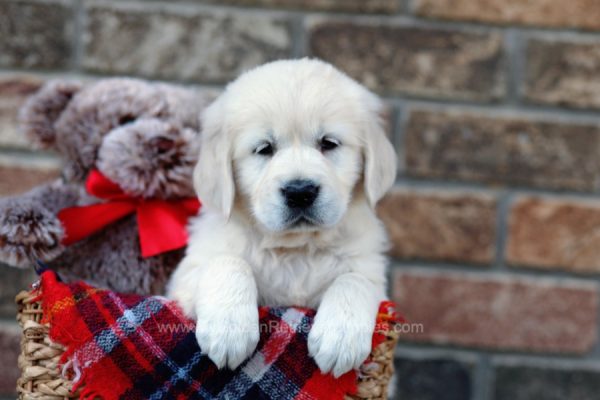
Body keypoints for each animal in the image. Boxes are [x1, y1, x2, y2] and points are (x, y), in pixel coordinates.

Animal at [166, 57, 396, 376]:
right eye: (264, 149)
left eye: (328, 143)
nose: (300, 192)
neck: (295, 248)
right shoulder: (186, 276)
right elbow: (228, 262)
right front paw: (229, 330)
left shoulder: (372, 273)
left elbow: (355, 279)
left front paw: (339, 338)